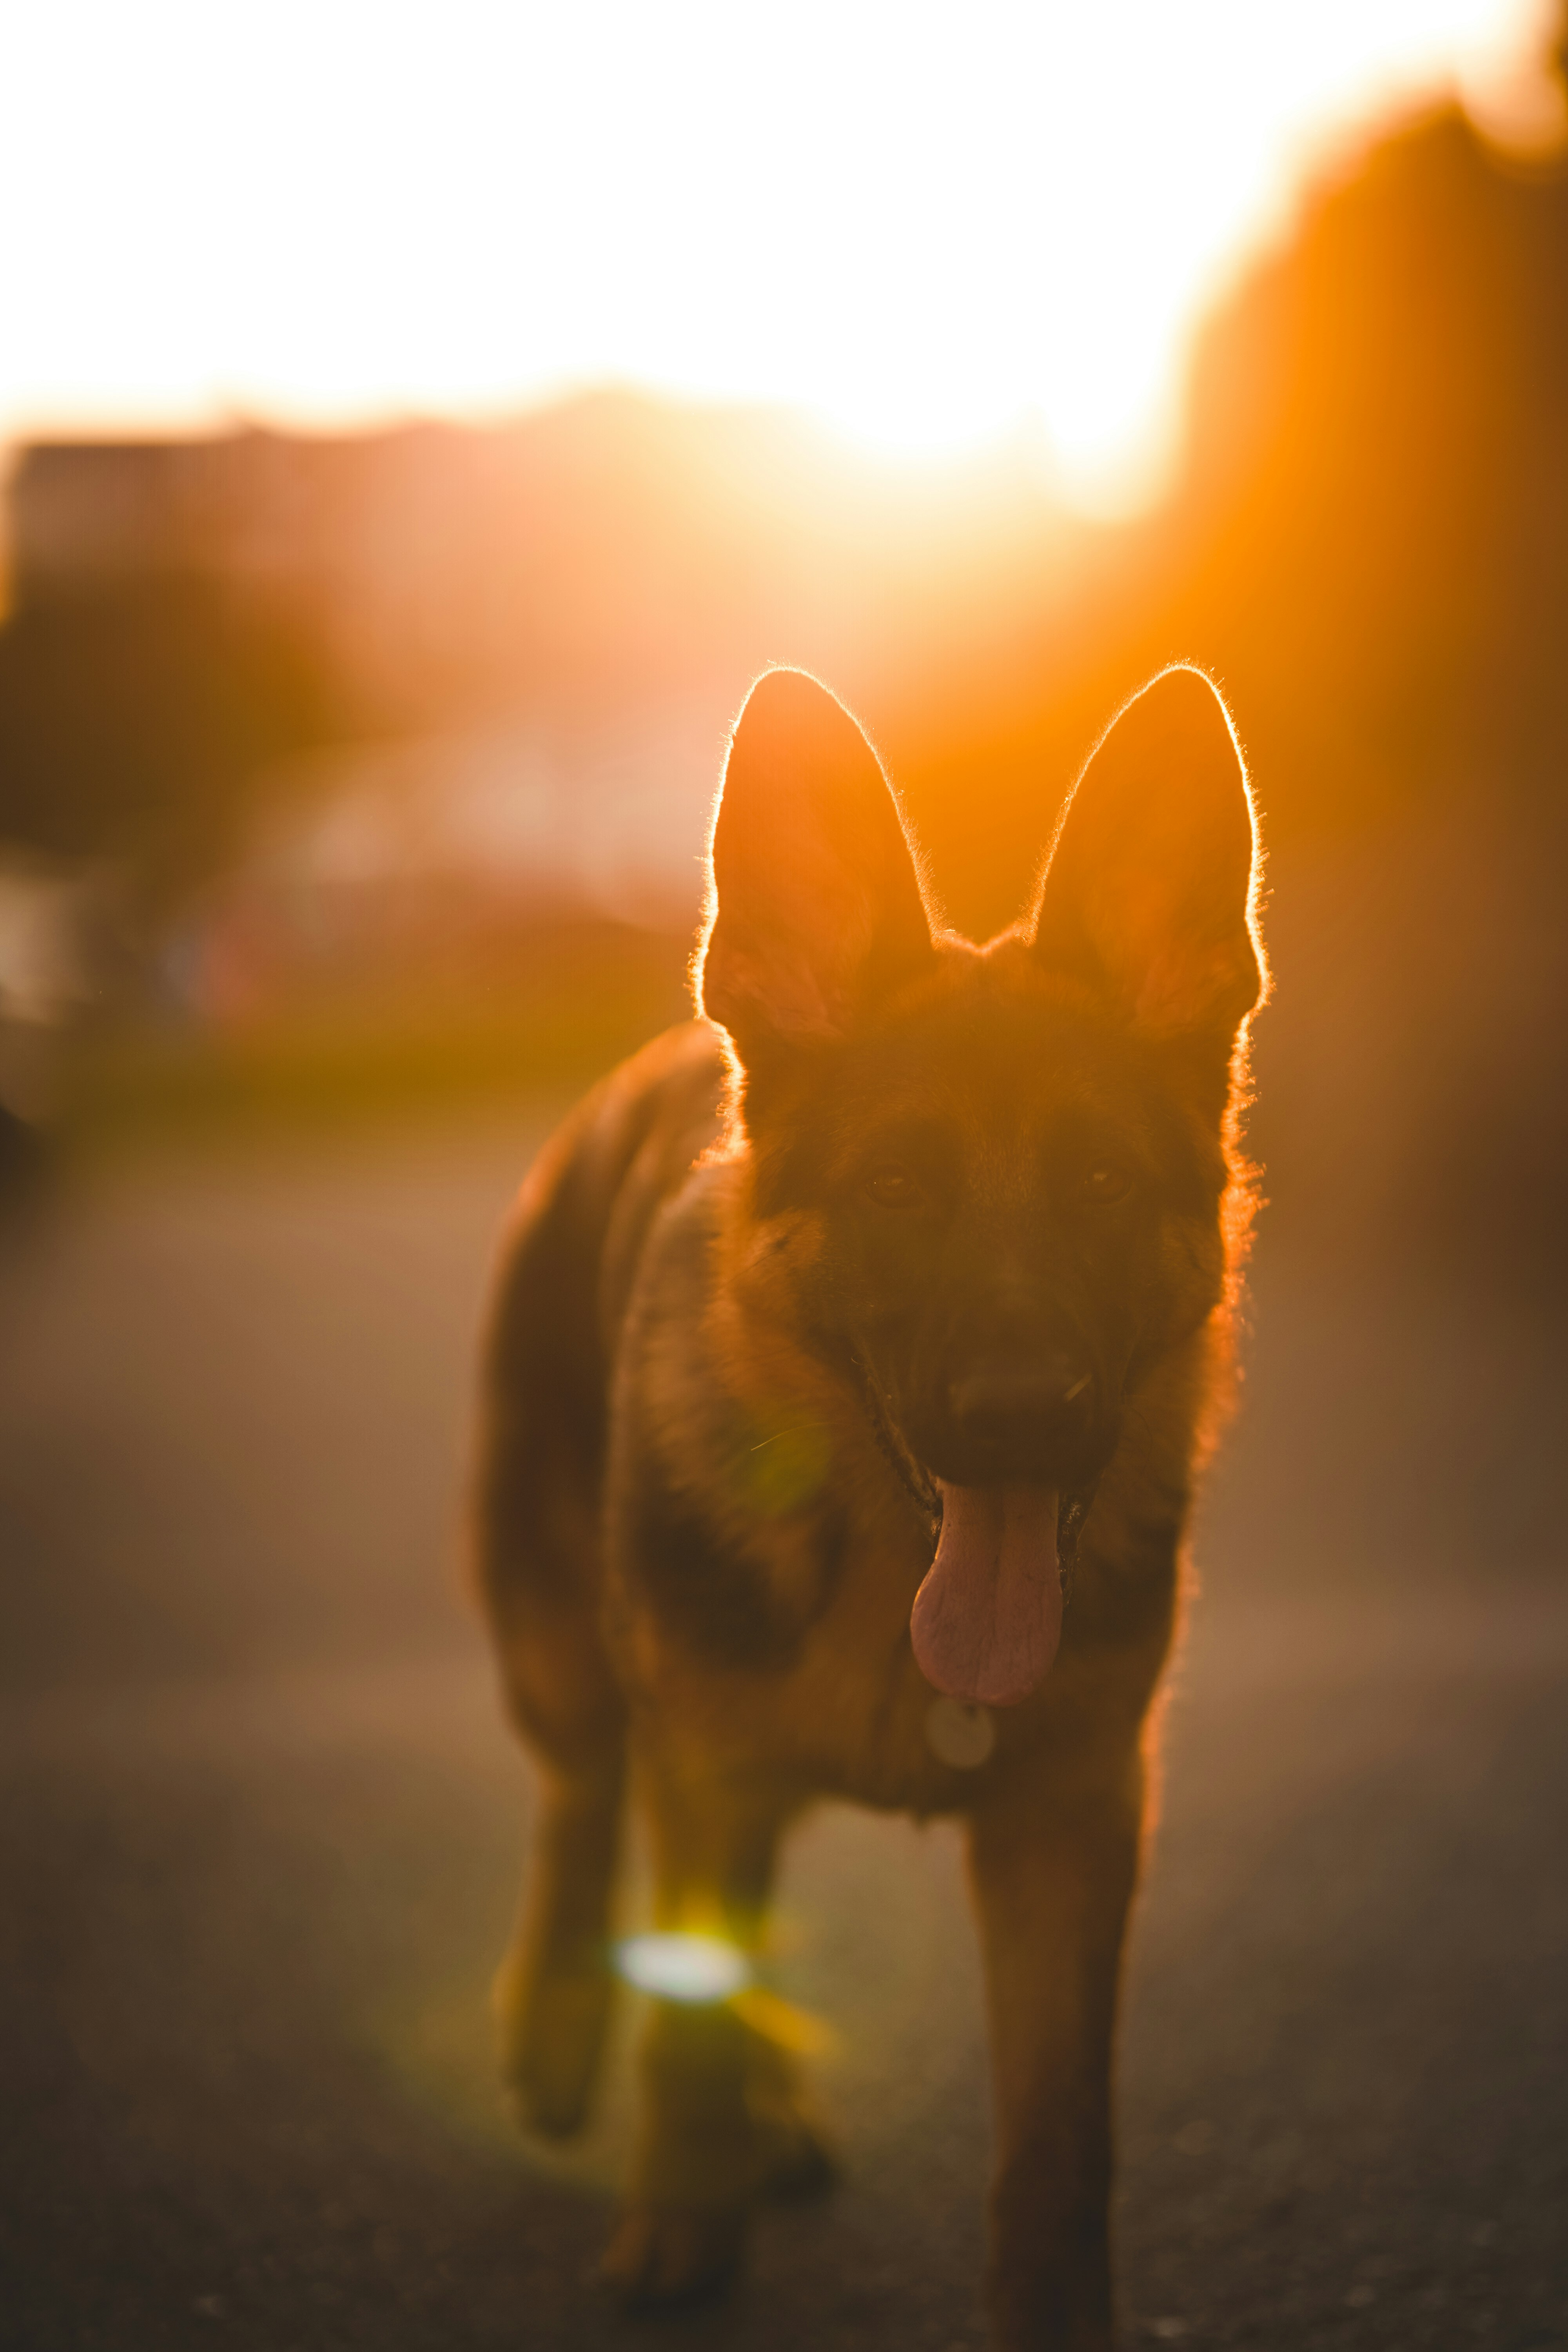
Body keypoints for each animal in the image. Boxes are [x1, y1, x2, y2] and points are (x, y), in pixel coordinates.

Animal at [472, 668, 1269, 2352]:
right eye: (898, 1190)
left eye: (1103, 1181)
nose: (1019, 1412)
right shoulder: (704, 1768)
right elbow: (684, 2032)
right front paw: (679, 2226)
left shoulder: (1068, 1828)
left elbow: (1057, 2133)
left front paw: (1050, 2317)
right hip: (563, 1647)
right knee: (581, 1803)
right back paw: (562, 2031)